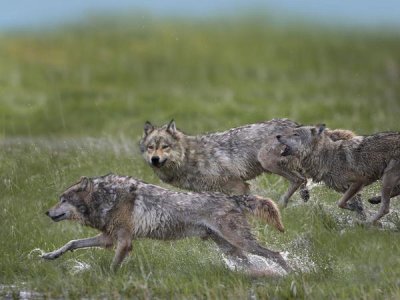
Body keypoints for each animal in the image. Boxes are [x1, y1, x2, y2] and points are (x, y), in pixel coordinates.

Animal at [41, 175, 290, 274]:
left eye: (63, 200)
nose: (46, 212)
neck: (106, 197)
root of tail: (233, 199)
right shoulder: (108, 238)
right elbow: (72, 242)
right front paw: (49, 255)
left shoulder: (124, 242)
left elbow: (112, 267)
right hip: (231, 249)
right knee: (253, 262)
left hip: (240, 242)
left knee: (276, 254)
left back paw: (291, 274)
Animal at [140, 119, 354, 206]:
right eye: (151, 147)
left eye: (165, 147)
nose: (155, 159)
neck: (189, 157)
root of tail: (295, 125)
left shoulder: (238, 186)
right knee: (302, 179)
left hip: (267, 161)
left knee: (299, 179)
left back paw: (283, 203)